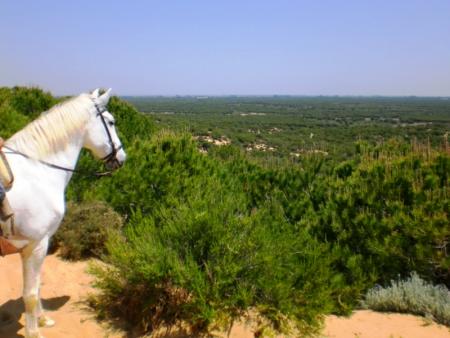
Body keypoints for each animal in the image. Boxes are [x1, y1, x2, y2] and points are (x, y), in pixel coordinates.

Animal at [1, 88, 125, 338]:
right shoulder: (36, 244)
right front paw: (34, 332)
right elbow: (30, 294)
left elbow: (36, 286)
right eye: (111, 122)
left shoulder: (32, 247)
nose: (122, 157)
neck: (38, 169)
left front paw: (42, 319)